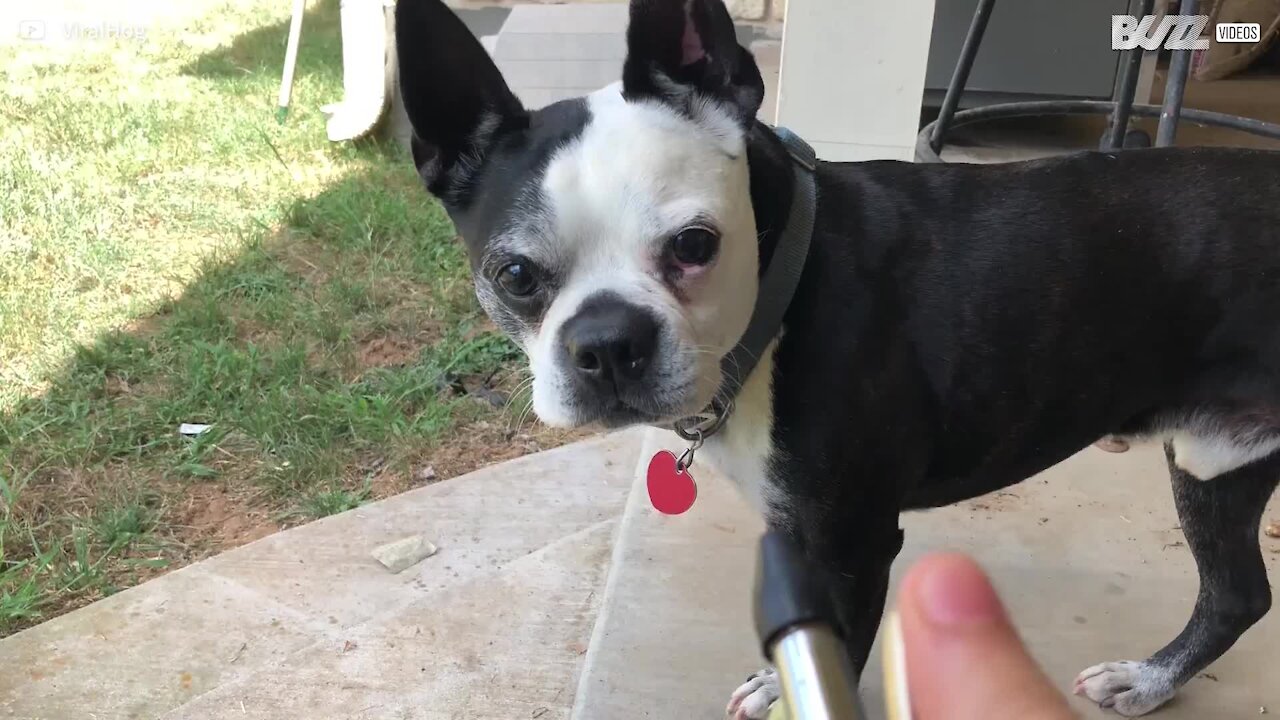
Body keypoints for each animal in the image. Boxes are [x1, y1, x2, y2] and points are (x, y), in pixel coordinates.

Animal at [396, 1, 1280, 712]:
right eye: (514, 275)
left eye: (694, 246)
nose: (609, 342)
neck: (781, 296)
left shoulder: (854, 541)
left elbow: (844, 644)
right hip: (1214, 461)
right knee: (1238, 595)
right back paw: (1152, 679)